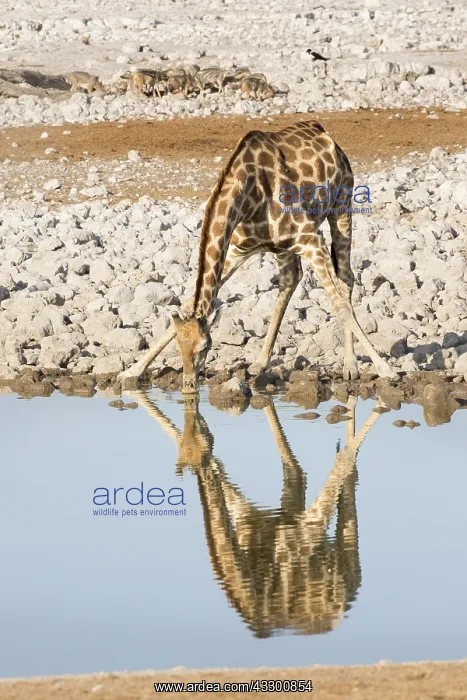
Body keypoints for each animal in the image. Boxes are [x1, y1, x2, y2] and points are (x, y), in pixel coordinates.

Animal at [119, 120, 397, 392]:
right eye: (179, 346)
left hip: (341, 206)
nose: (189, 385)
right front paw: (132, 371)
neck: (248, 197)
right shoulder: (239, 249)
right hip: (284, 247)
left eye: (205, 347)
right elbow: (189, 303)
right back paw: (260, 362)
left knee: (345, 278)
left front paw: (386, 369)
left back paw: (350, 365)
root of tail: (325, 134)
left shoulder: (310, 239)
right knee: (290, 280)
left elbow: (339, 304)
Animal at [126, 390, 384, 636]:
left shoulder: (303, 529)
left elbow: (338, 462)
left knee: (340, 468)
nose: (199, 421)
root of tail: (344, 602)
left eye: (196, 433)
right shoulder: (247, 516)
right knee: (336, 487)